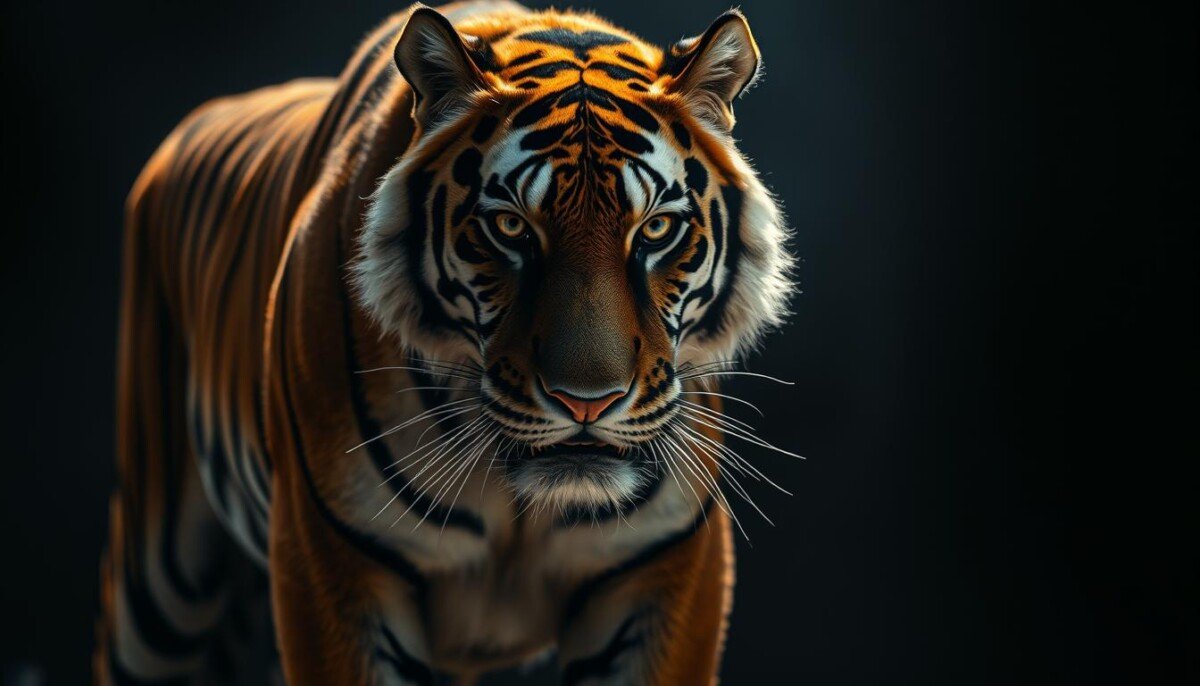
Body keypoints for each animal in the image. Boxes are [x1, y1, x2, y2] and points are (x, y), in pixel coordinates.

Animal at [95, 2, 793, 684]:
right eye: (510, 227)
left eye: (655, 229)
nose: (586, 402)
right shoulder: (332, 571)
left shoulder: (665, 578)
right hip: (159, 592)